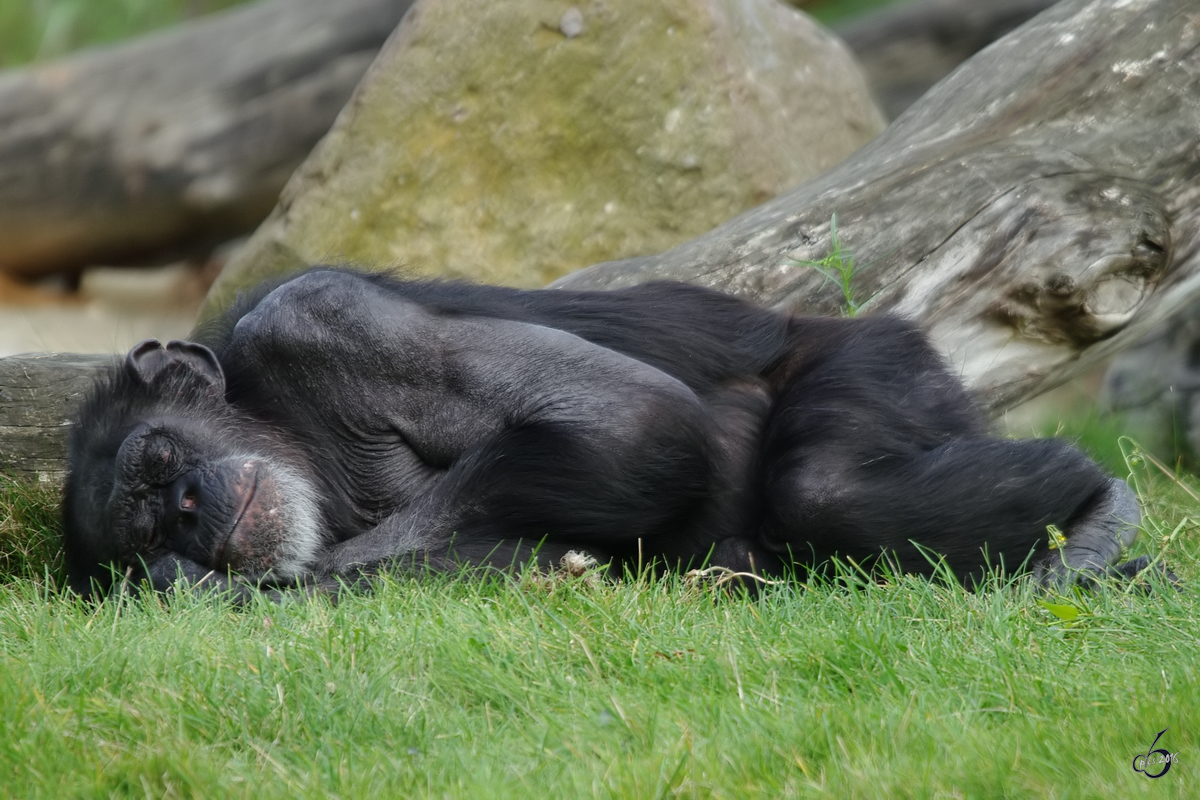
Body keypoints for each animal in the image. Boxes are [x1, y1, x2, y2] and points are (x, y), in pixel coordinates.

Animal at [63, 268, 1142, 599]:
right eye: (143, 526)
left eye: (161, 459)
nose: (190, 512)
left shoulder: (319, 325)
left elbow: (635, 420)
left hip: (879, 359)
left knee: (829, 488)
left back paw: (1097, 518)